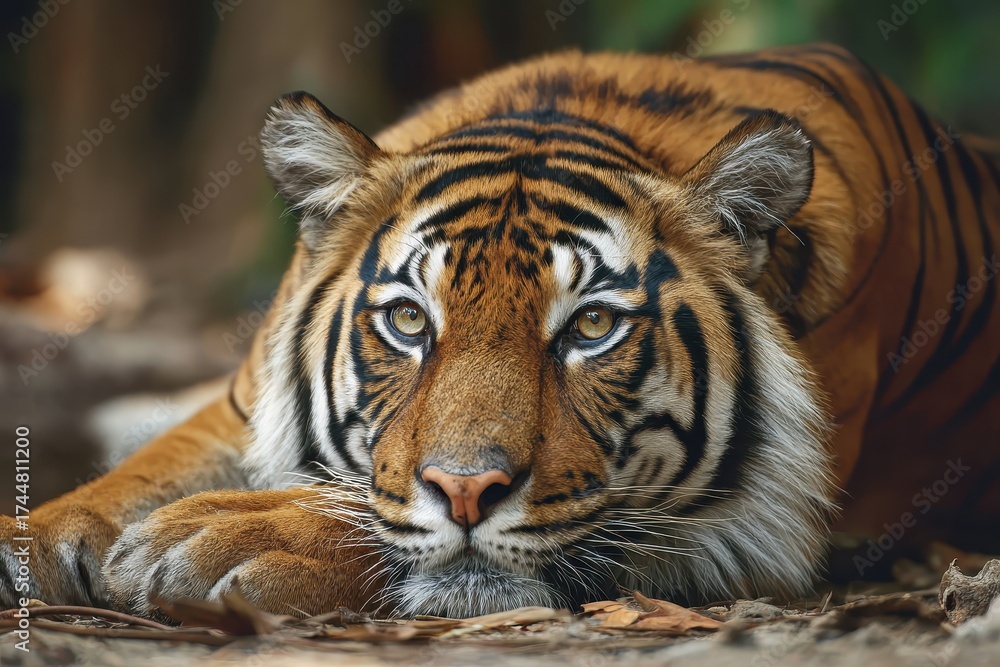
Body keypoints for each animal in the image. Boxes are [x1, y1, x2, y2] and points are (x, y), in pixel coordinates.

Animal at [2, 43, 998, 620]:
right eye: (409, 319)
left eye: (591, 326)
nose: (468, 490)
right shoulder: (239, 408)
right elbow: (145, 468)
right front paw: (31, 536)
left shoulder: (751, 519)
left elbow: (369, 517)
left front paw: (224, 538)